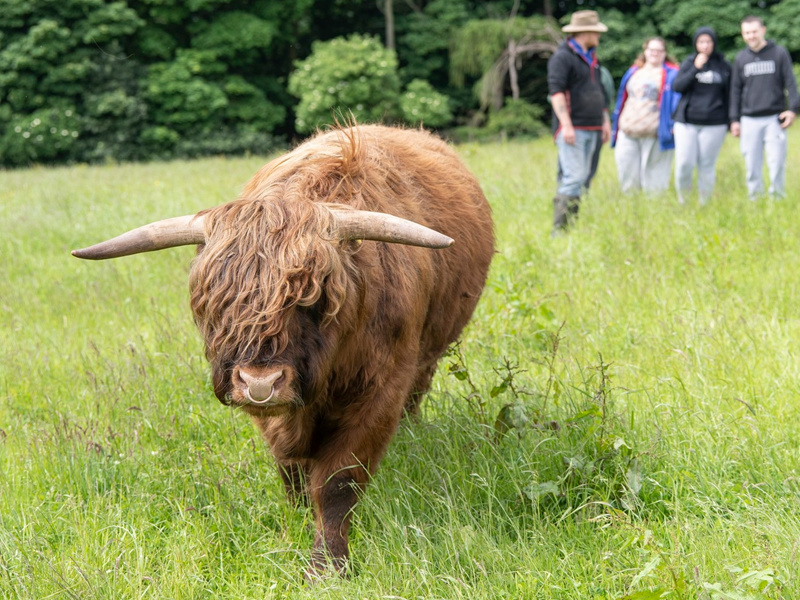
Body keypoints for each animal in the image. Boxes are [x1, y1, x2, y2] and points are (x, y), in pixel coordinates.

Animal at [72, 124, 494, 577]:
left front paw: (327, 565)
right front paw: (296, 521)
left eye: (314, 299)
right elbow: (292, 471)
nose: (260, 383)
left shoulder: (381, 390)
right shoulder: (277, 416)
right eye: (213, 303)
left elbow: (337, 482)